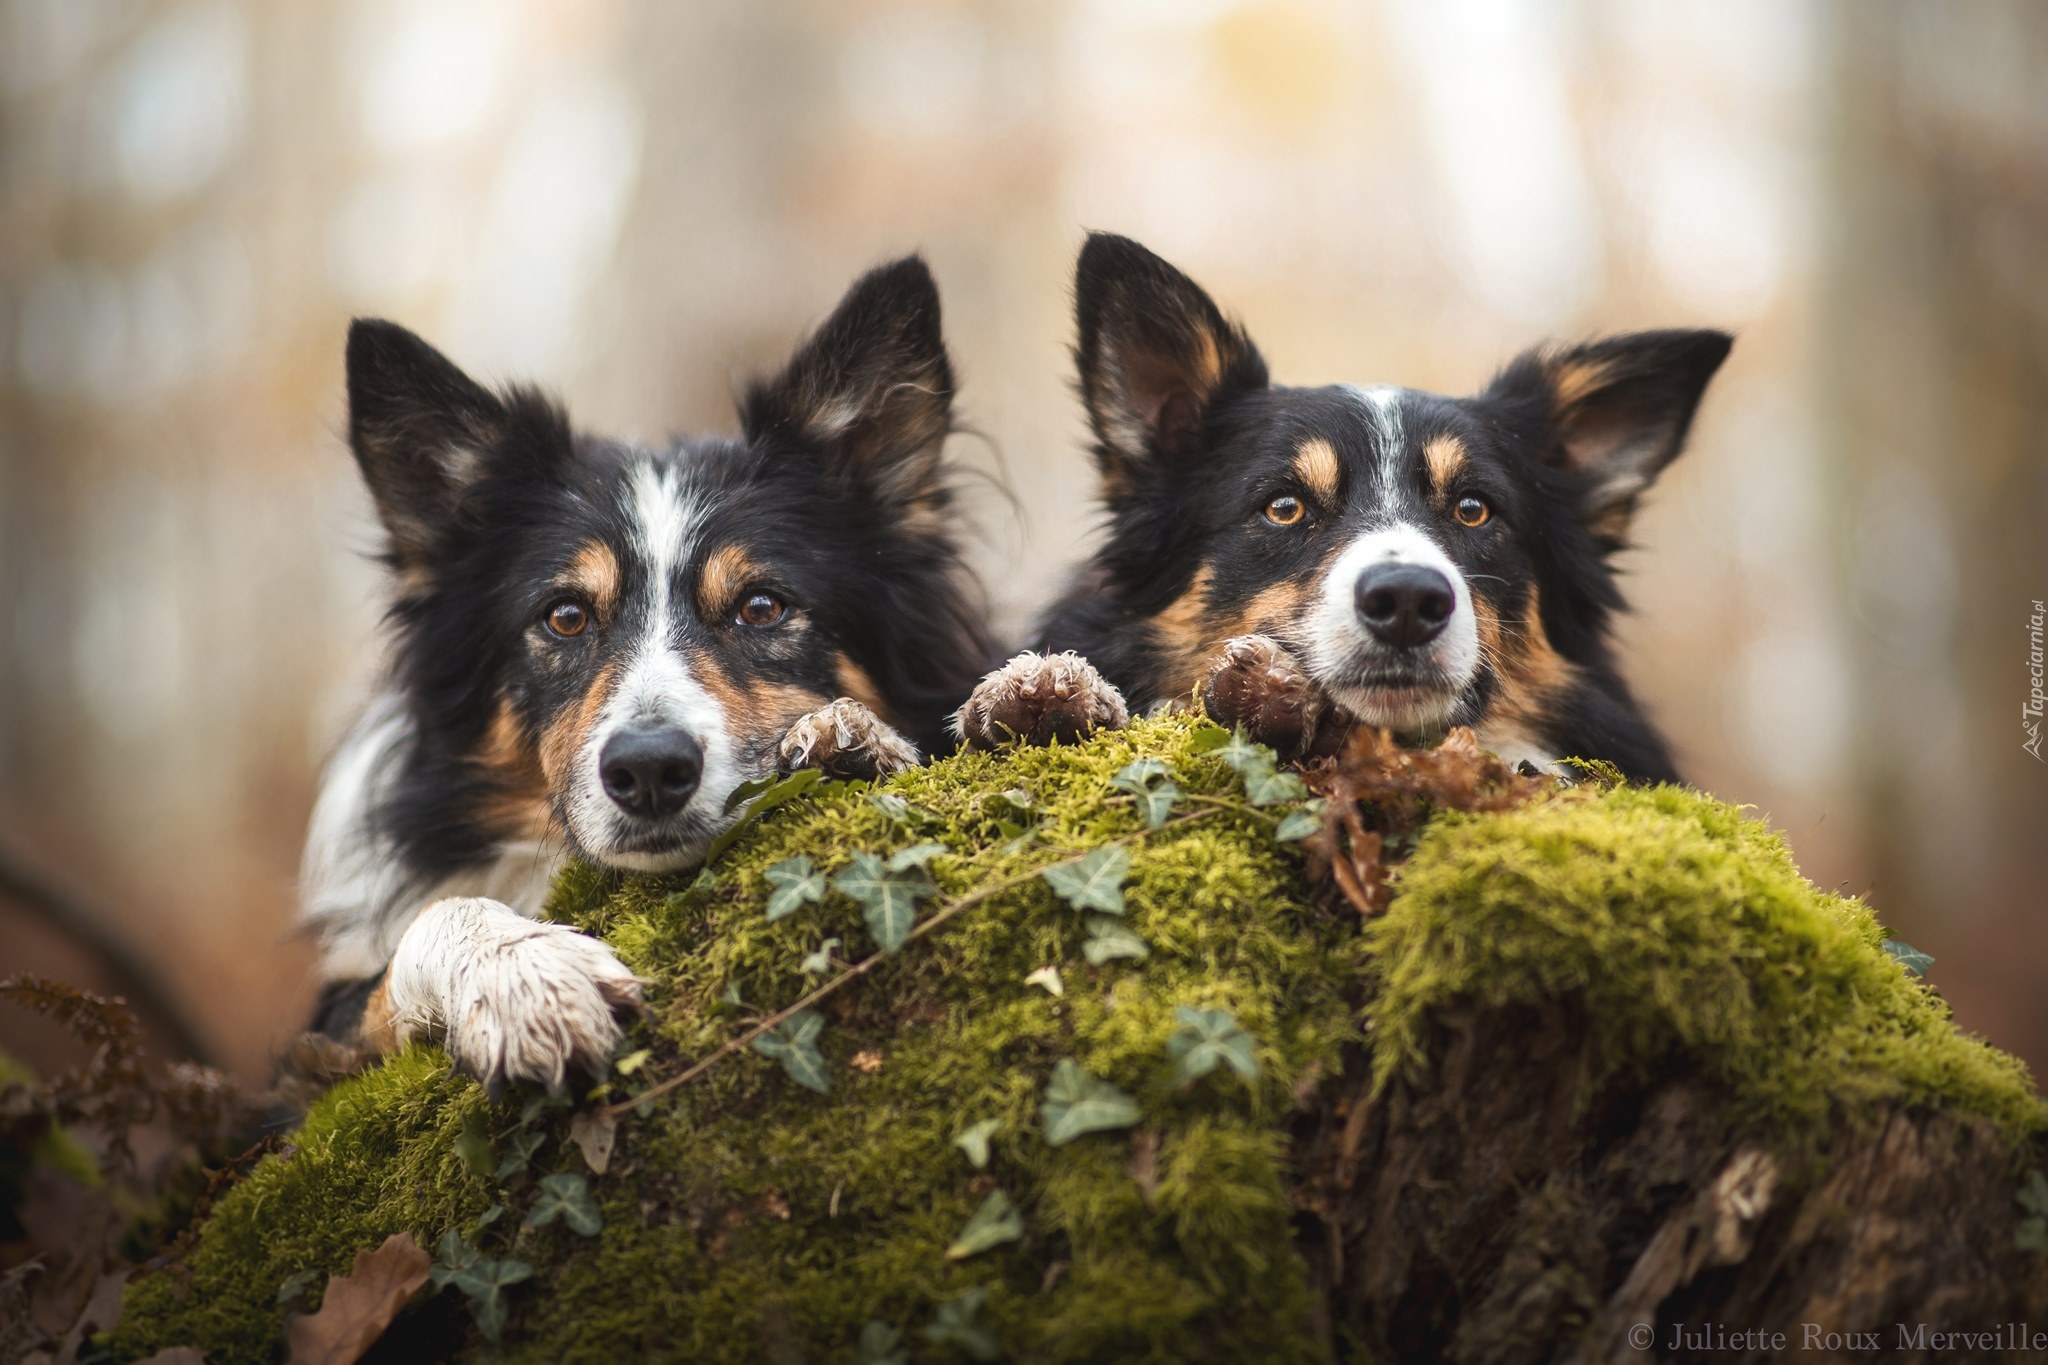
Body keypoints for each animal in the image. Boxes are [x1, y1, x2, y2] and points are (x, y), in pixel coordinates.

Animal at [299, 253, 991, 1088]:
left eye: (762, 606)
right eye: (565, 615)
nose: (651, 770)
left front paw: (844, 736)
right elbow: (423, 931)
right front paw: (523, 971)